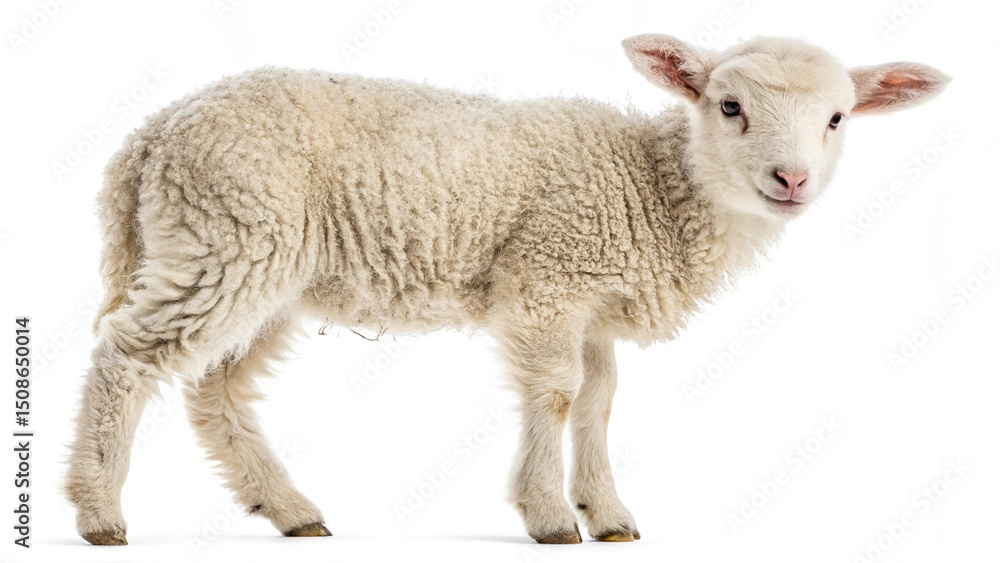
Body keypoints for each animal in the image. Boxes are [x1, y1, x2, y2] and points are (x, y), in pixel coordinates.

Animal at [64, 33, 949, 546]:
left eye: (838, 118)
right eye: (728, 105)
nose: (790, 180)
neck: (653, 183)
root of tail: (151, 135)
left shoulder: (593, 303)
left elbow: (598, 401)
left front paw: (607, 511)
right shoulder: (547, 278)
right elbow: (555, 395)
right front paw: (551, 514)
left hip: (262, 266)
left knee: (214, 388)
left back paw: (288, 508)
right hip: (229, 232)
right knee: (126, 357)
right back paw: (99, 510)